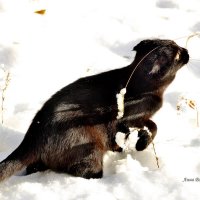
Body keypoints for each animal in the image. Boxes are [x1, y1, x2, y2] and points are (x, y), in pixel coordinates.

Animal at [0, 38, 189, 180]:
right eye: (178, 54)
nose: (186, 51)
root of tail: (33, 135)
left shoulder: (132, 122)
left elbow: (141, 130)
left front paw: (136, 142)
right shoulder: (130, 117)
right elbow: (153, 126)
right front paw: (141, 144)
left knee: (32, 167)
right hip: (89, 145)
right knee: (82, 170)